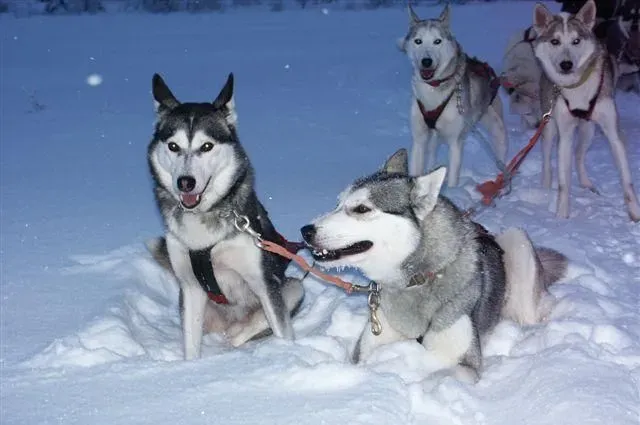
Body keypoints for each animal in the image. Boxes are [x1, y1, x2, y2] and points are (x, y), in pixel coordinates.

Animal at [146, 74, 304, 360]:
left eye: (206, 146)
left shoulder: (263, 282)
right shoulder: (191, 288)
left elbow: (280, 328)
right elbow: (191, 347)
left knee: (250, 327)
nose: (185, 182)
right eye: (173, 146)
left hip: (294, 287)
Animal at [298, 148, 564, 380]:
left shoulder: (465, 364)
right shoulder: (364, 350)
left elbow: (432, 373)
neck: (416, 280)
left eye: (362, 208)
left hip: (517, 241)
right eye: (337, 204)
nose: (305, 230)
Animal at [400, 3, 510, 186]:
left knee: (501, 153)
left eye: (437, 41)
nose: (426, 61)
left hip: (496, 127)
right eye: (418, 41)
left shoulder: (455, 144)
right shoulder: (419, 140)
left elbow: (452, 178)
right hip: (435, 137)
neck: (433, 91)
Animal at [528, 0, 640, 219]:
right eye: (555, 41)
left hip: (588, 131)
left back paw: (586, 183)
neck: (577, 87)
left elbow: (627, 180)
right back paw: (545, 187)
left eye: (576, 41)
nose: (566, 64)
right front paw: (561, 217)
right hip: (549, 127)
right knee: (547, 160)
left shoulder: (613, 132)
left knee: (579, 156)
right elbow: (563, 184)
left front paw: (635, 213)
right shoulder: (565, 134)